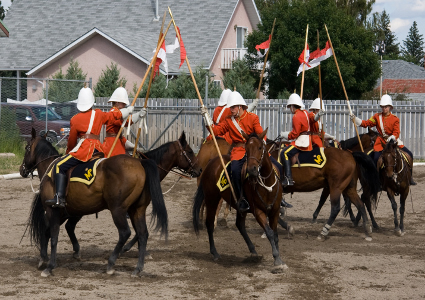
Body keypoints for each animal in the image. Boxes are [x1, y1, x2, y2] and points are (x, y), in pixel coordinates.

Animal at [20, 127, 167, 278]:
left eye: (27, 148)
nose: (22, 169)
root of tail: (139, 163)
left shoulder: (52, 210)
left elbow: (53, 235)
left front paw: (49, 266)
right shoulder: (61, 212)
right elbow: (47, 231)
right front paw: (43, 259)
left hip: (118, 209)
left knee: (125, 233)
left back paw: (111, 263)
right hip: (136, 210)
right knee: (143, 234)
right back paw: (137, 268)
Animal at [193, 129, 286, 272]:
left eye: (260, 147)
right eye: (246, 149)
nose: (252, 170)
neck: (267, 184)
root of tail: (211, 163)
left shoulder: (274, 212)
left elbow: (275, 234)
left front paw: (279, 257)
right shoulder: (258, 212)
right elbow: (270, 233)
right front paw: (276, 258)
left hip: (238, 207)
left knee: (240, 225)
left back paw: (253, 252)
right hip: (212, 199)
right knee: (209, 224)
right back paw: (214, 253)